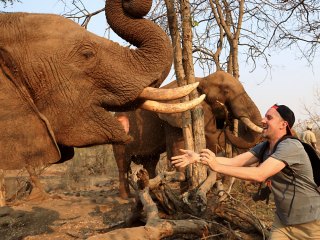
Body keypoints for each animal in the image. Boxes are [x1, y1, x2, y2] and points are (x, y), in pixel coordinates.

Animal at [112, 71, 262, 199]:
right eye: (226, 91)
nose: (228, 120)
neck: (201, 80)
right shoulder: (176, 114)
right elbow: (180, 147)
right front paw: (184, 193)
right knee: (122, 163)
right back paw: (126, 197)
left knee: (150, 162)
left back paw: (153, 192)